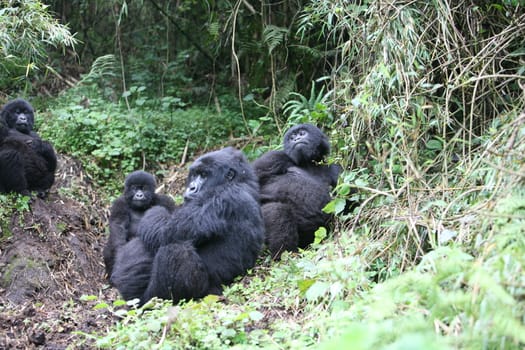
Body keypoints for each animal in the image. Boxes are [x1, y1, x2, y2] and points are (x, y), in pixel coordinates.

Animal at [111, 148, 266, 306]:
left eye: (204, 175)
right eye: (195, 174)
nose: (191, 187)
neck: (239, 181)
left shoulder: (222, 199)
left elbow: (162, 232)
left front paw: (155, 211)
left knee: (175, 249)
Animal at [253, 122, 342, 258]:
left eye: (302, 133)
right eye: (292, 137)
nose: (296, 139)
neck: (309, 162)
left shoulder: (335, 169)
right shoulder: (273, 157)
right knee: (277, 211)